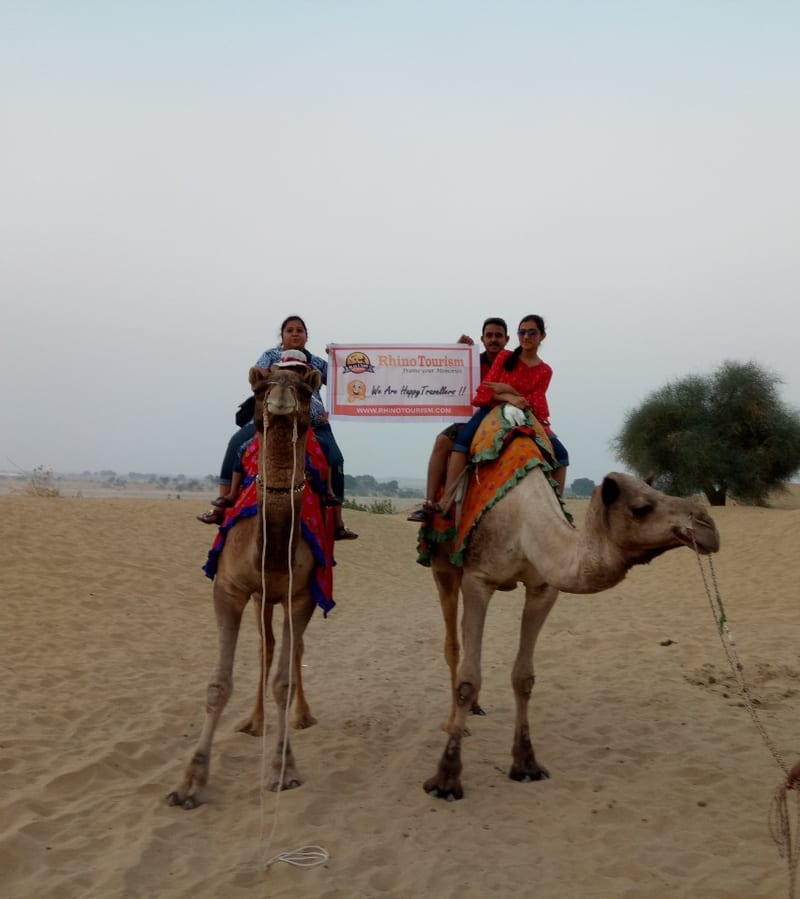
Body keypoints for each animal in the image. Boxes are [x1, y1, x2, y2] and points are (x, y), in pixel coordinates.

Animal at [167, 365, 325, 810]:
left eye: (304, 389)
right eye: (260, 387)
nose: (281, 394)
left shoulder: (302, 595)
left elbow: (284, 682)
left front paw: (283, 770)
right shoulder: (229, 589)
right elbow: (217, 685)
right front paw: (190, 783)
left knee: (291, 649)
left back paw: (302, 716)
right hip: (260, 598)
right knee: (264, 647)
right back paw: (254, 722)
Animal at [424, 467, 720, 800]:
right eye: (641, 508)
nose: (708, 526)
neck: (525, 525)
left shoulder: (543, 588)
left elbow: (523, 677)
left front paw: (527, 765)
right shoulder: (478, 579)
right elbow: (468, 679)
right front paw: (446, 780)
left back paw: (475, 709)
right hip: (444, 569)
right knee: (453, 646)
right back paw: (454, 723)